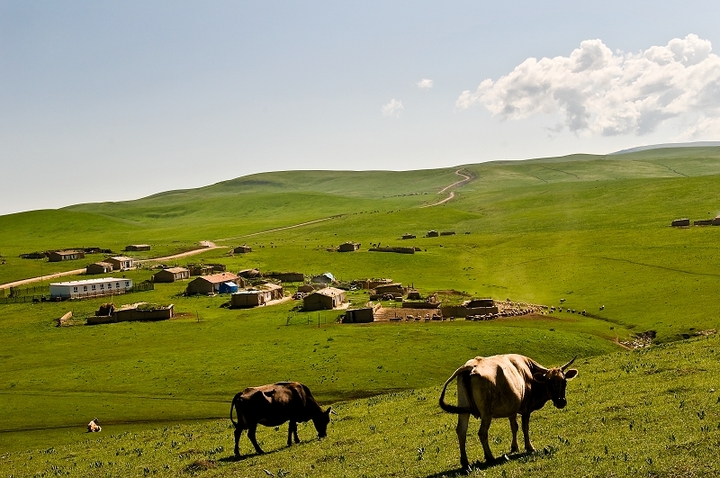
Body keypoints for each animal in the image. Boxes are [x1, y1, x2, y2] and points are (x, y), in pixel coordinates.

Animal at [436, 352, 576, 468]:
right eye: (549, 382)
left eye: (564, 381)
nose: (561, 401)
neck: (529, 374)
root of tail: (471, 365)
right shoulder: (526, 408)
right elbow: (525, 427)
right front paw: (529, 447)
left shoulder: (512, 408)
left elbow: (514, 427)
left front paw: (514, 447)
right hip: (486, 413)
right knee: (482, 433)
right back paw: (490, 457)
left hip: (464, 409)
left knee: (461, 431)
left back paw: (465, 462)